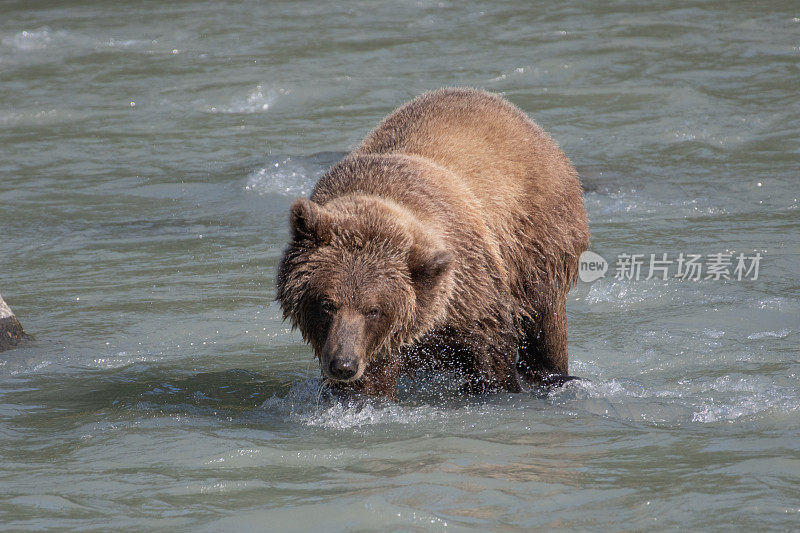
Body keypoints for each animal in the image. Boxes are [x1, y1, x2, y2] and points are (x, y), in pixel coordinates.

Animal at [276, 87, 588, 396]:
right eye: (327, 304)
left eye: (373, 309)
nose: (343, 365)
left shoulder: (471, 295)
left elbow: (492, 355)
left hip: (538, 239)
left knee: (544, 318)